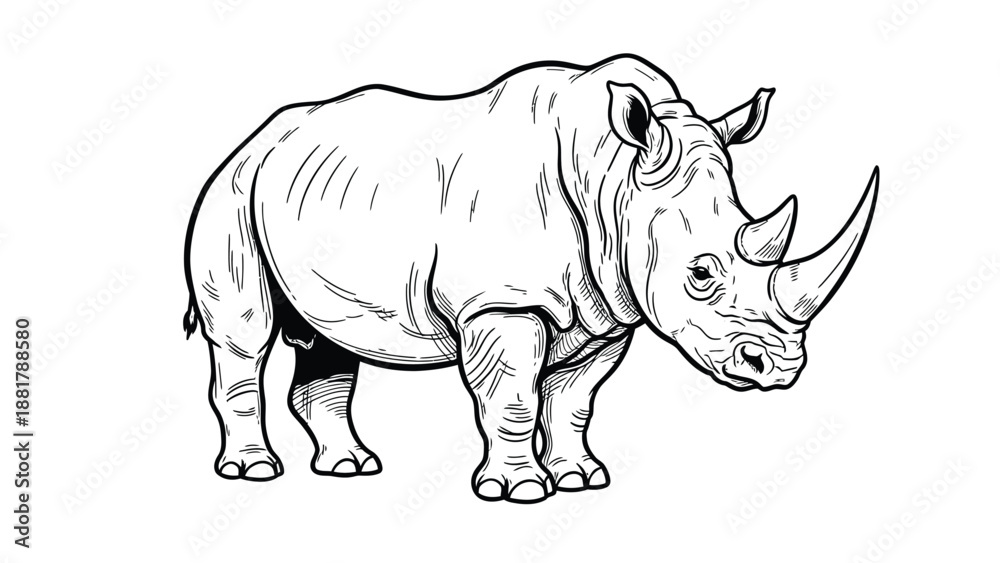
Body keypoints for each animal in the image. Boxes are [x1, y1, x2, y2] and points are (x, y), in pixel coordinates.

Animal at [183, 54, 877, 503]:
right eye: (701, 274)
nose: (780, 370)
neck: (613, 178)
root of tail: (253, 139)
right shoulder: (501, 305)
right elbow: (512, 398)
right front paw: (516, 491)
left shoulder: (606, 310)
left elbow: (574, 400)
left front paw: (580, 479)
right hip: (231, 195)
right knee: (243, 336)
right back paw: (254, 473)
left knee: (327, 345)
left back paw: (351, 469)